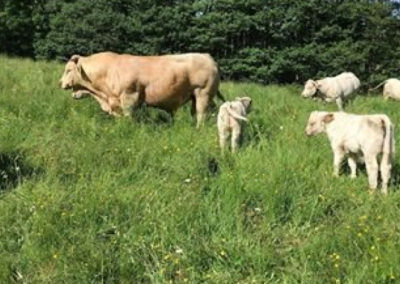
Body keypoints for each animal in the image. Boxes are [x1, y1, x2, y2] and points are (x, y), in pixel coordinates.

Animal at [59, 51, 223, 126]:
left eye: (68, 70)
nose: (60, 83)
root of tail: (207, 56)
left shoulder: (129, 97)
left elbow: (129, 117)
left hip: (203, 94)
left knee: (201, 114)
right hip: (198, 97)